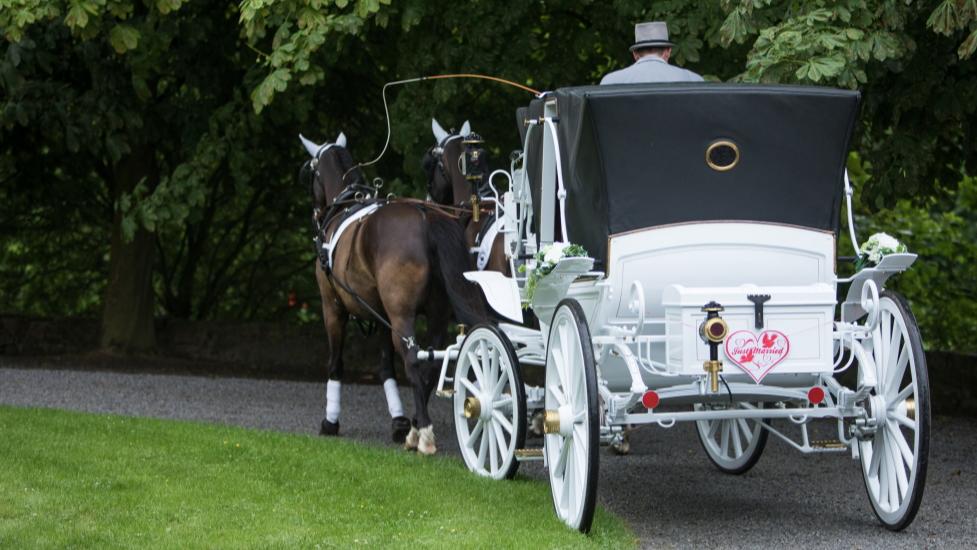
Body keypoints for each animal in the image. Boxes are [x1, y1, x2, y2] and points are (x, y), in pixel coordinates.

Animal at [296, 133, 482, 458]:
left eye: (310, 172)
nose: (316, 213)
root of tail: (424, 217)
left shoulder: (332, 307)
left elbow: (336, 364)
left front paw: (330, 421)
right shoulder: (380, 313)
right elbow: (385, 367)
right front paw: (399, 421)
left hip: (401, 316)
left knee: (413, 360)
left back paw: (423, 434)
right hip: (433, 316)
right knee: (431, 363)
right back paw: (415, 427)